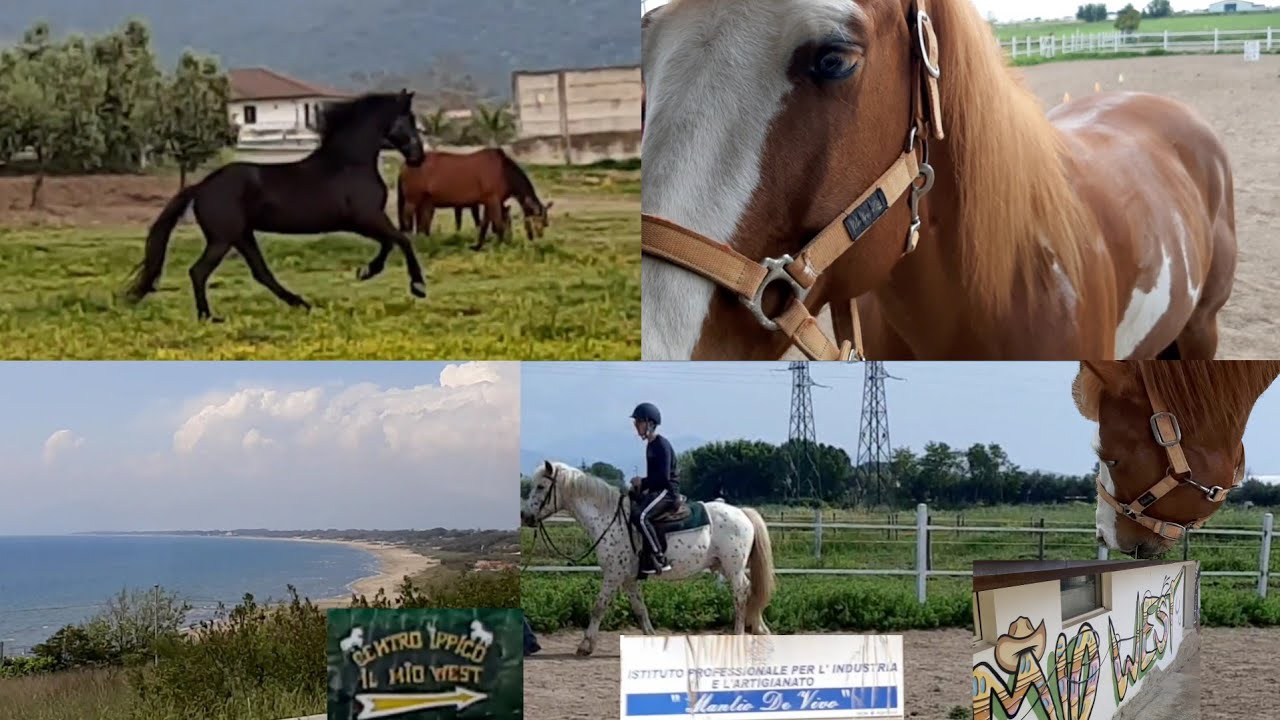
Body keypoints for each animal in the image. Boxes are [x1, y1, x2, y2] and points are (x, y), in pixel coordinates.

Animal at [125, 90, 428, 321]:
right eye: (409, 120)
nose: (418, 157)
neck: (349, 163)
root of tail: (201, 187)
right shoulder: (366, 218)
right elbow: (401, 240)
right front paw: (415, 285)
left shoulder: (365, 222)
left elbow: (391, 242)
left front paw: (367, 272)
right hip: (223, 238)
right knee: (199, 272)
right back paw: (208, 317)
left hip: (242, 236)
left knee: (261, 273)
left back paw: (301, 303)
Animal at [396, 149, 553, 250]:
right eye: (538, 220)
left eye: (545, 223)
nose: (537, 237)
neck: (504, 172)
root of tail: (404, 165)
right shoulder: (493, 201)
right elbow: (497, 224)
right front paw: (500, 245)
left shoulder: (488, 202)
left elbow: (484, 224)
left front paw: (478, 246)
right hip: (412, 201)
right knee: (408, 222)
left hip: (426, 203)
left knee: (423, 226)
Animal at [520, 461, 775, 656]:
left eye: (541, 486)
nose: (525, 516)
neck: (610, 519)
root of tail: (742, 512)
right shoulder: (628, 579)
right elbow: (639, 609)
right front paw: (651, 637)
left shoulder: (613, 575)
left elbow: (599, 606)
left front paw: (585, 645)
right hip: (723, 566)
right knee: (751, 590)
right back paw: (760, 628)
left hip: (733, 568)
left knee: (741, 593)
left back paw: (740, 633)